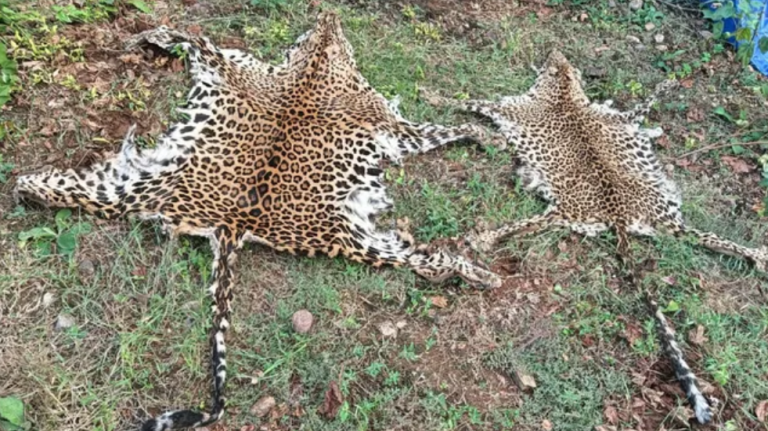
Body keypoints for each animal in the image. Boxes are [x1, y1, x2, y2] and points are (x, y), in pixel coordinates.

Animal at [13, 12, 502, 430]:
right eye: (318, 31)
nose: (328, 13)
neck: (315, 66)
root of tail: (233, 224)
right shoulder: (389, 123)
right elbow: (190, 34)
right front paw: (145, 36)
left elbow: (191, 37)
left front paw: (484, 131)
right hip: (341, 231)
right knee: (429, 261)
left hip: (144, 191)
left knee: (430, 261)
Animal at [423, 49, 768, 425]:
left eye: (556, 61)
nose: (554, 50)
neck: (564, 93)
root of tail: (616, 213)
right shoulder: (617, 116)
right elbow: (640, 108)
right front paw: (666, 92)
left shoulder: (505, 109)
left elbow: (469, 101)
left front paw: (433, 96)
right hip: (667, 219)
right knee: (702, 237)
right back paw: (758, 255)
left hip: (562, 209)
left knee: (529, 225)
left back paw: (484, 236)